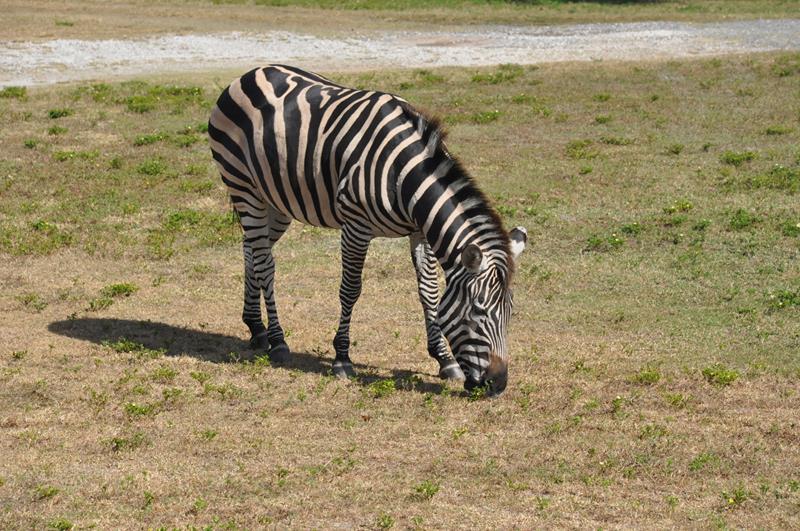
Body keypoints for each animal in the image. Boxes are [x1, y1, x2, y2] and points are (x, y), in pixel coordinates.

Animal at [208, 65, 526, 396]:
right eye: (478, 312)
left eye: (510, 312)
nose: (498, 384)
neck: (404, 175)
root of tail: (250, 73)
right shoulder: (355, 226)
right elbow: (350, 290)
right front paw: (342, 358)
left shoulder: (420, 231)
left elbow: (428, 290)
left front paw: (444, 359)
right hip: (244, 187)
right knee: (265, 264)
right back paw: (277, 340)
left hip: (277, 201)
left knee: (251, 250)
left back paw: (256, 328)